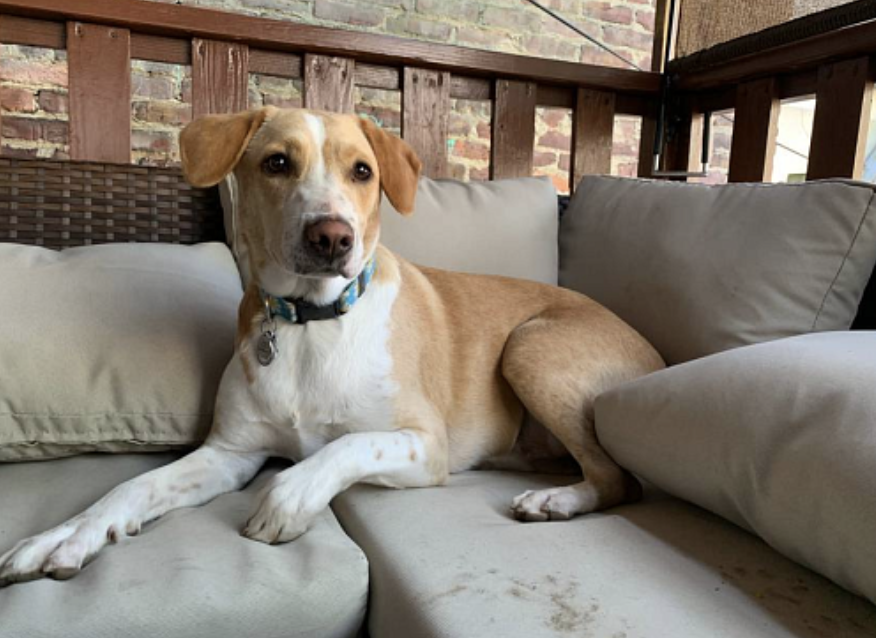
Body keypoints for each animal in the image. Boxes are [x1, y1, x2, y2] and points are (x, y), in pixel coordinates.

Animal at [0, 107, 664, 585]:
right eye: (276, 162)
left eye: (362, 171)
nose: (332, 236)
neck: (310, 324)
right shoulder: (230, 453)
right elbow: (134, 487)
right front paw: (69, 534)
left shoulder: (424, 444)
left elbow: (345, 446)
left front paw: (288, 496)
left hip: (528, 347)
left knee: (618, 479)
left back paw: (556, 501)